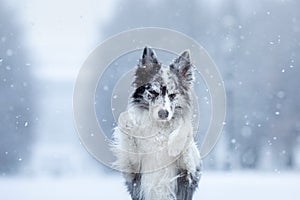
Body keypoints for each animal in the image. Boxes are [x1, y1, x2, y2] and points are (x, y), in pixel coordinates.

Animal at [111, 47, 200, 200]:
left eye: (173, 95)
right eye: (153, 92)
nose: (163, 113)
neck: (159, 129)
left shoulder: (188, 172)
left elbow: (186, 126)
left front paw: (174, 146)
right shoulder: (132, 170)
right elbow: (124, 120)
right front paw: (129, 122)